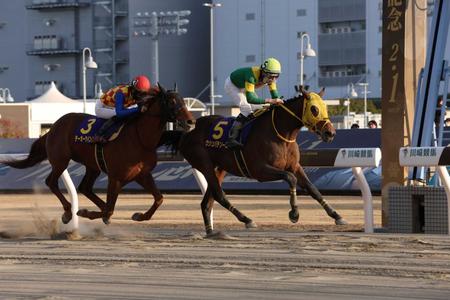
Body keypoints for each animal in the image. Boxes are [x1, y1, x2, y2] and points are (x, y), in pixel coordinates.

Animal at [0, 84, 193, 225]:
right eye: (171, 101)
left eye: (183, 100)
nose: (190, 121)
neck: (140, 138)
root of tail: (53, 126)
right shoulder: (115, 177)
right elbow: (110, 208)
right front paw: (87, 212)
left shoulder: (142, 174)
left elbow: (159, 198)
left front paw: (140, 215)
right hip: (60, 160)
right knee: (51, 182)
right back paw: (68, 212)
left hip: (93, 166)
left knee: (85, 188)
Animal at [162, 86, 348, 237]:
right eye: (314, 109)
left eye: (326, 107)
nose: (330, 133)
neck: (280, 132)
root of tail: (186, 132)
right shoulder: (260, 170)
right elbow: (291, 179)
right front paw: (294, 213)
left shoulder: (294, 166)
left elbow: (313, 189)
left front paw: (337, 216)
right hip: (204, 164)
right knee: (219, 195)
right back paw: (247, 220)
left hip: (220, 167)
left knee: (207, 202)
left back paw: (211, 232)